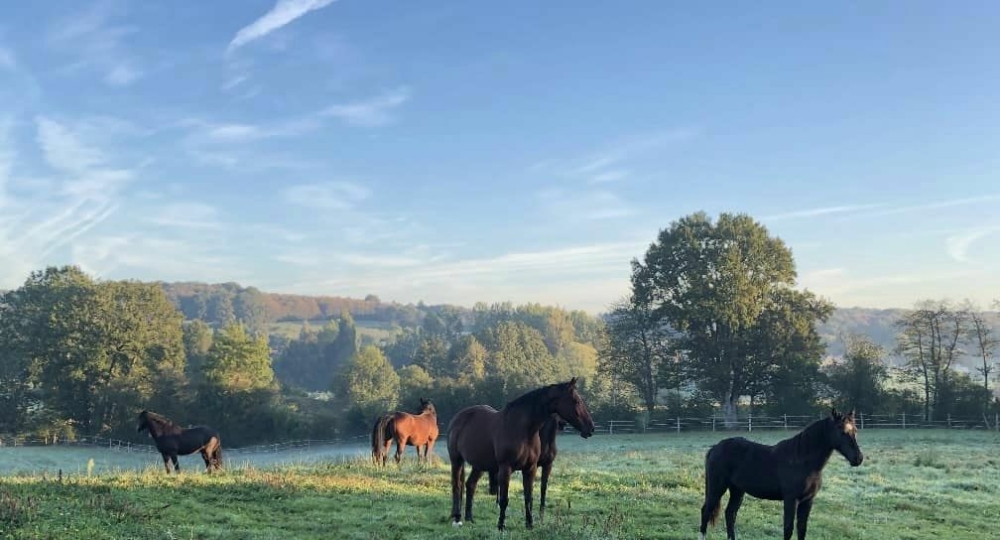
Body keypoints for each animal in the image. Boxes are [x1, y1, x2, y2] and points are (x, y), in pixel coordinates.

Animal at [448, 378, 592, 528]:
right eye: (576, 401)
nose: (591, 427)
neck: (522, 430)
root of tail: (457, 418)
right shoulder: (505, 468)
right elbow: (504, 499)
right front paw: (501, 525)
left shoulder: (530, 468)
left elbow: (529, 497)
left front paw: (530, 524)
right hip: (456, 460)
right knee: (456, 486)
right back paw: (457, 518)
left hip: (479, 465)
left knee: (470, 485)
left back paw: (469, 518)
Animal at [700, 410, 864, 540]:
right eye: (842, 431)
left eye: (855, 431)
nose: (858, 458)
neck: (802, 461)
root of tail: (715, 448)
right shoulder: (791, 499)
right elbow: (788, 529)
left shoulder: (808, 501)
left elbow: (802, 529)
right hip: (717, 488)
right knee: (706, 511)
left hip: (737, 490)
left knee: (730, 514)